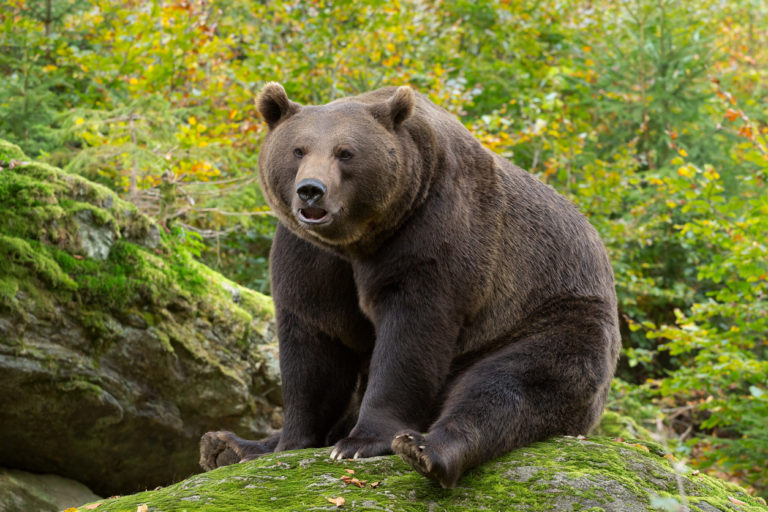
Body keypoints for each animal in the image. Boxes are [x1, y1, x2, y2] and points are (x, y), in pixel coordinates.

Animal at [201, 83, 620, 488]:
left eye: (345, 152)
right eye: (298, 149)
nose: (311, 190)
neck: (359, 240)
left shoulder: (433, 231)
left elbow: (411, 335)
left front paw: (360, 442)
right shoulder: (312, 258)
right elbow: (315, 341)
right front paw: (289, 441)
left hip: (551, 317)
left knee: (509, 384)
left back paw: (425, 449)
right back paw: (228, 445)